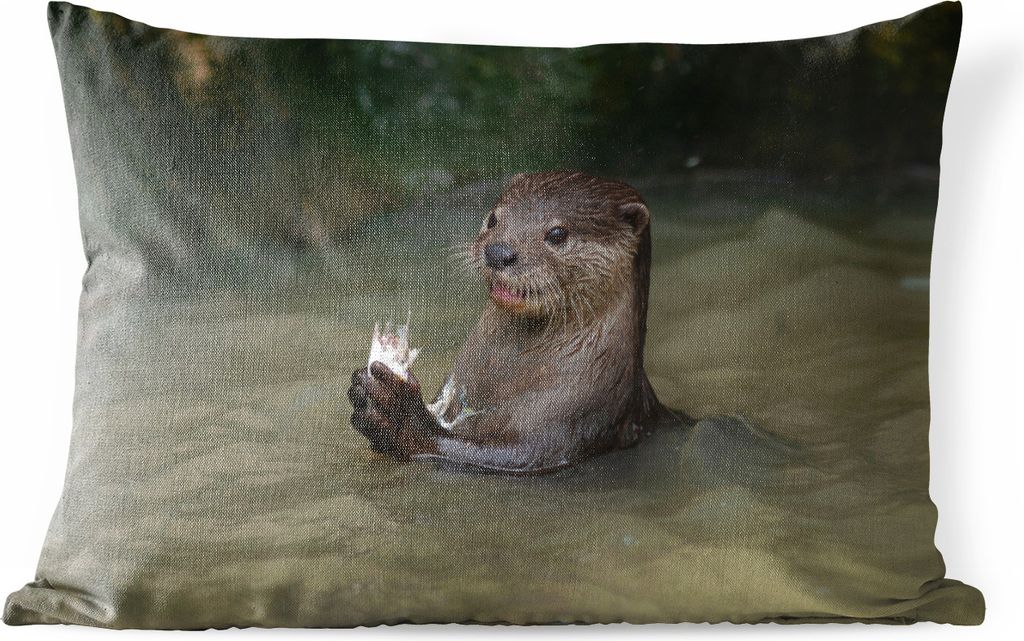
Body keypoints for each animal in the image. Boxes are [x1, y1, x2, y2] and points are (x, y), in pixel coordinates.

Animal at [347, 170, 682, 473]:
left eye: (558, 234)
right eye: (494, 219)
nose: (498, 252)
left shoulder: (572, 418)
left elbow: (505, 455)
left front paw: (396, 413)